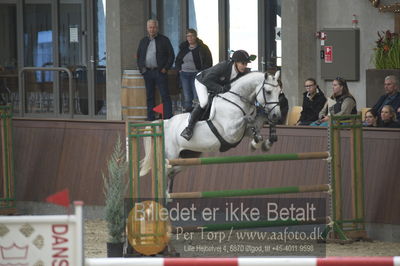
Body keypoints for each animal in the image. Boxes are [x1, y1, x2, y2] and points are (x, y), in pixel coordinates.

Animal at [140, 69, 282, 192]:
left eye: (280, 92)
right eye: (268, 92)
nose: (277, 116)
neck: (236, 101)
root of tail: (164, 123)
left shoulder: (242, 132)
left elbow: (255, 125)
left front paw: (263, 142)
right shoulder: (231, 132)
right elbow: (248, 119)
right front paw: (257, 142)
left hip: (187, 157)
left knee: (171, 173)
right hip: (170, 156)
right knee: (163, 172)